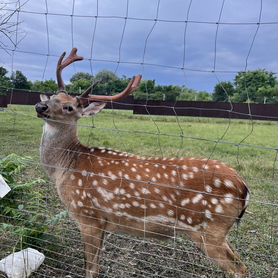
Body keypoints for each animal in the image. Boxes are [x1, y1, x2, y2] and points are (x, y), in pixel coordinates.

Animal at [35, 48, 250, 278]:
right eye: (53, 96)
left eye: (69, 107)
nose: (40, 106)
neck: (65, 167)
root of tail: (244, 189)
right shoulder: (103, 223)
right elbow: (97, 266)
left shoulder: (88, 216)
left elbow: (91, 269)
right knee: (242, 265)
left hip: (209, 230)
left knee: (238, 269)